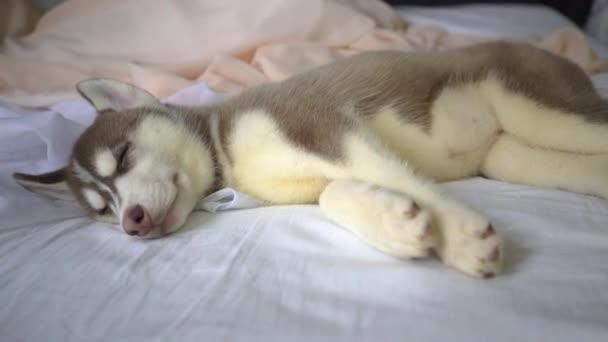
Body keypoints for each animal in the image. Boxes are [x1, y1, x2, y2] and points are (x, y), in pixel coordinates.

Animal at [13, 42, 608, 278]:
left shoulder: (322, 125)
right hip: (514, 153)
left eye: (123, 155)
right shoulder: (317, 161)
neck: (226, 152)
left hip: (540, 104)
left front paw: (459, 236)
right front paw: (397, 224)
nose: (132, 223)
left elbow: (394, 174)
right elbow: (332, 194)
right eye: (101, 209)